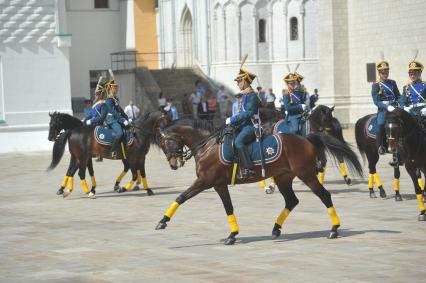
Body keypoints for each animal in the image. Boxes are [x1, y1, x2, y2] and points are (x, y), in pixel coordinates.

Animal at [153, 121, 362, 245]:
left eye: (166, 143)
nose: (173, 164)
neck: (207, 147)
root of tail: (305, 139)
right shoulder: (219, 185)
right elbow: (229, 208)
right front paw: (232, 234)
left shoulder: (204, 181)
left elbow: (181, 197)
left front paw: (162, 221)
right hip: (283, 178)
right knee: (291, 201)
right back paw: (276, 229)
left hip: (307, 175)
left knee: (324, 195)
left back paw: (334, 229)